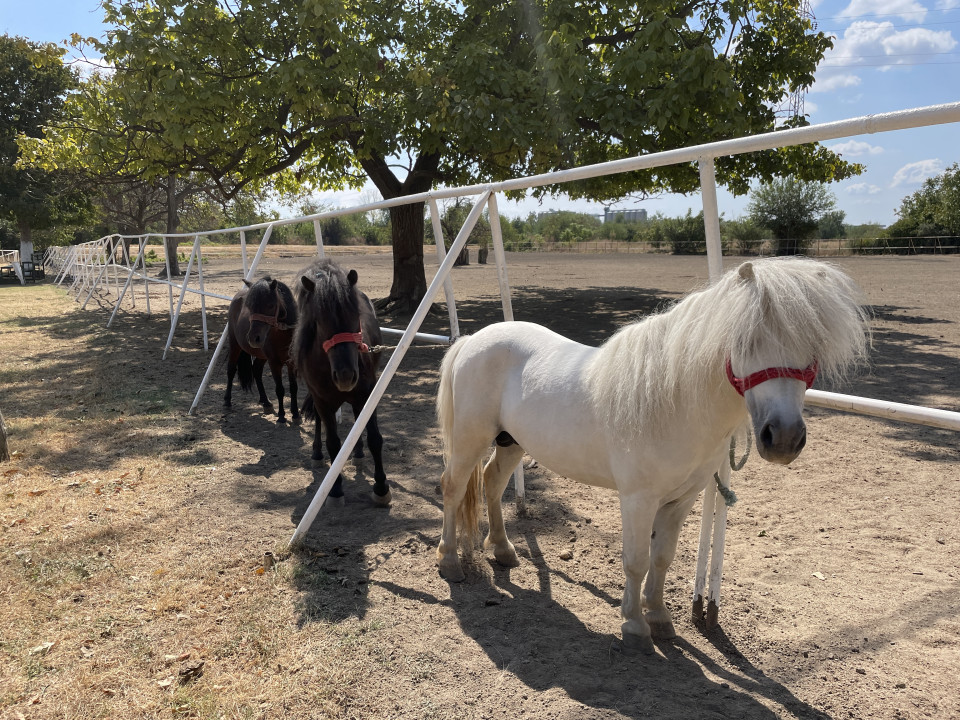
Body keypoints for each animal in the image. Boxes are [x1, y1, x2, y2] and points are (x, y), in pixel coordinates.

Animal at [226, 274, 298, 422]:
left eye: (270, 305)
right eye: (249, 307)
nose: (254, 338)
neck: (283, 333)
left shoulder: (291, 362)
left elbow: (293, 387)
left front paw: (295, 414)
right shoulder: (274, 363)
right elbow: (280, 389)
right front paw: (282, 416)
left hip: (261, 355)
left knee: (257, 371)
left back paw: (265, 402)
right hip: (235, 345)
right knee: (231, 370)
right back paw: (227, 401)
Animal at [290, 258, 388, 506]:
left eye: (356, 317)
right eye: (319, 322)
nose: (345, 376)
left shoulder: (366, 395)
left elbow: (374, 438)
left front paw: (381, 487)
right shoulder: (322, 401)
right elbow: (333, 442)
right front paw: (334, 490)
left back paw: (358, 451)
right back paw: (316, 453)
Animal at [436, 258, 872, 652]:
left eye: (814, 345)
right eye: (746, 341)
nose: (783, 438)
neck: (673, 401)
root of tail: (474, 339)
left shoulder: (683, 499)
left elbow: (662, 557)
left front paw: (660, 619)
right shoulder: (638, 499)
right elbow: (636, 560)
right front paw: (634, 626)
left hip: (512, 441)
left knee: (492, 482)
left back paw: (503, 550)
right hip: (471, 439)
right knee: (454, 488)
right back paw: (450, 562)